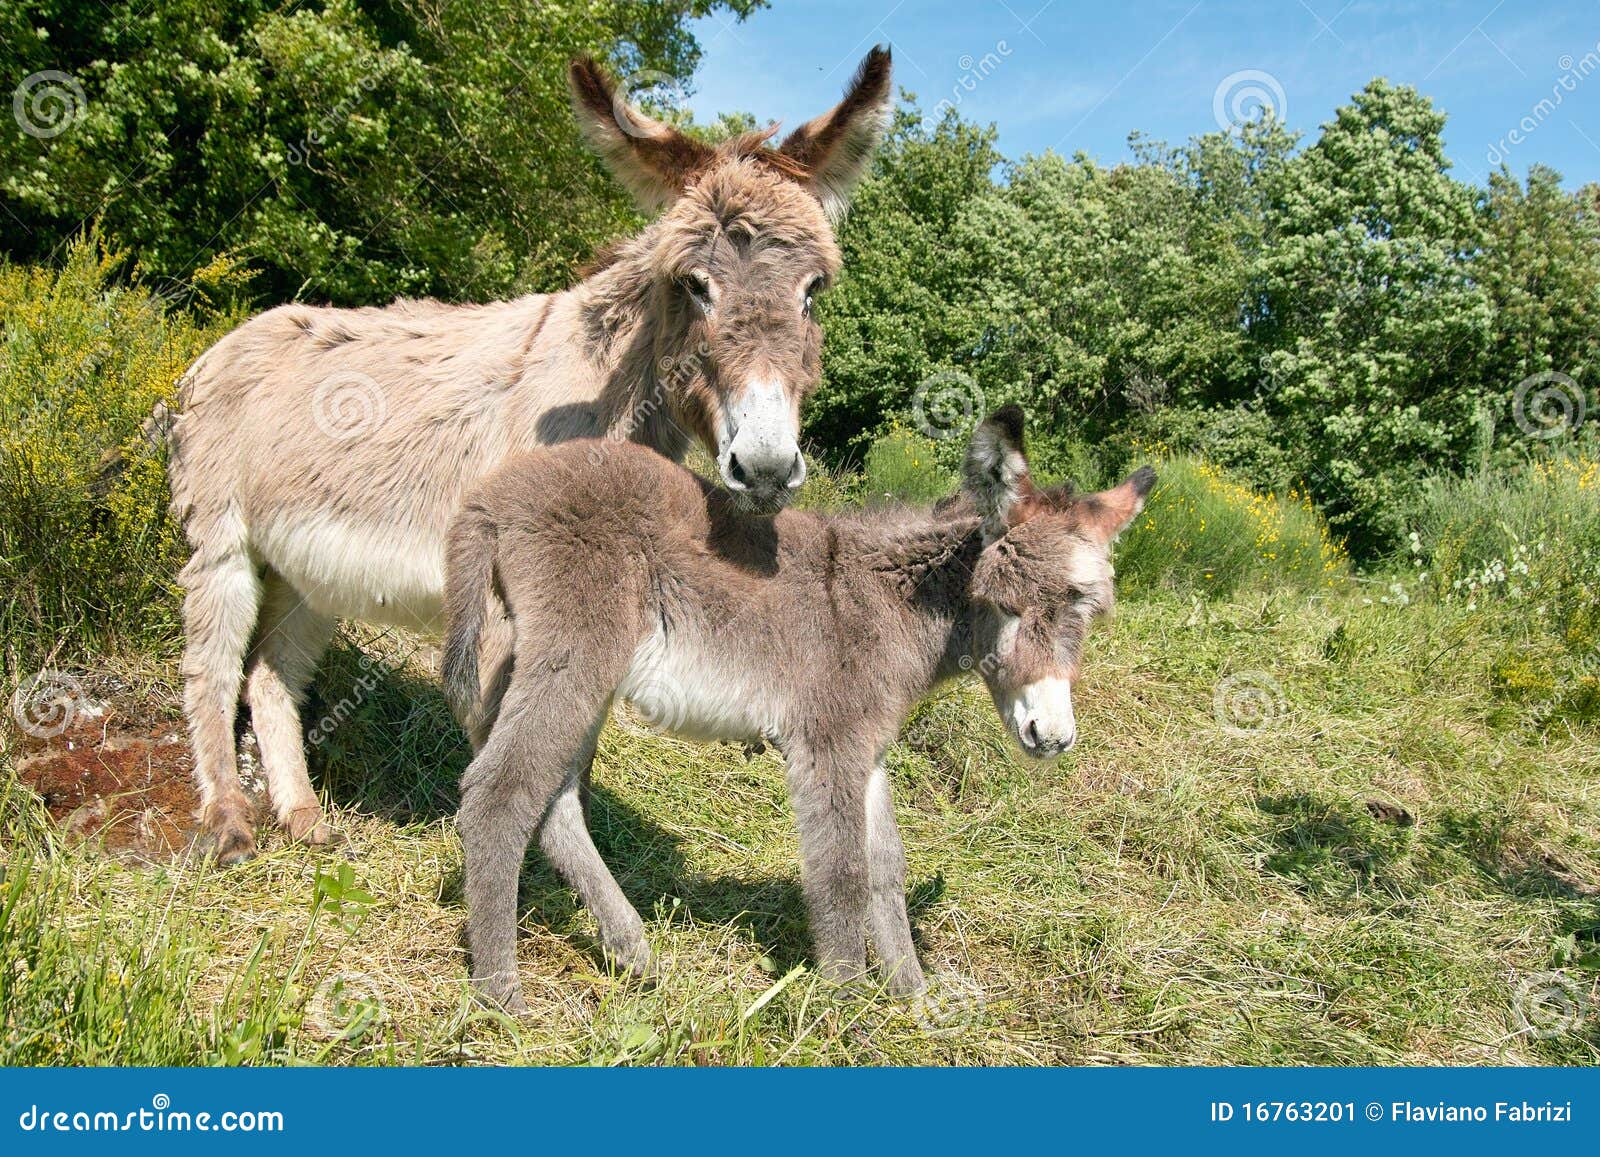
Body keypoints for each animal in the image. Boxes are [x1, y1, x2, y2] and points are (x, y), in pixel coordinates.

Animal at [444, 408, 1158, 1011]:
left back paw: (633, 950)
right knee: (499, 794)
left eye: (1087, 616)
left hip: (560, 665)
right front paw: (846, 1009)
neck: (891, 600)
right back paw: (501, 993)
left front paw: (912, 999)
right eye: (1008, 603)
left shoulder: (869, 751)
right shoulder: (829, 743)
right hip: (578, 649)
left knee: (553, 798)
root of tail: (492, 495)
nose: (1052, 736)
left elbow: (885, 869)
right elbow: (841, 871)